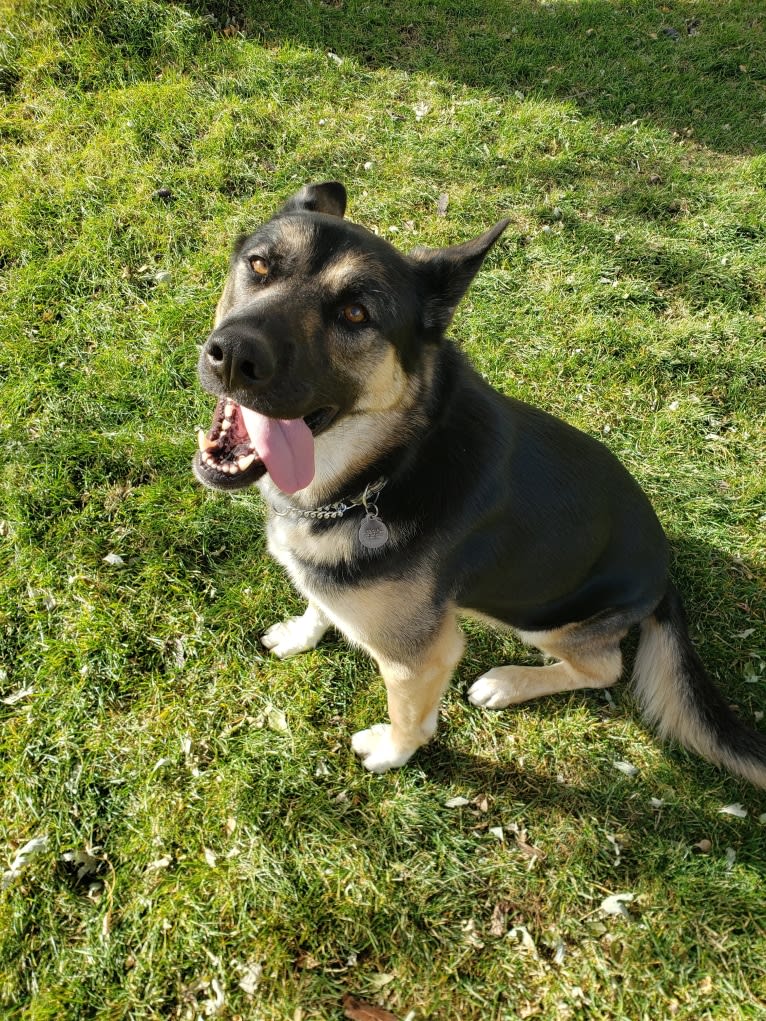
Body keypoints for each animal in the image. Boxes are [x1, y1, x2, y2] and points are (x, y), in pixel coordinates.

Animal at [193, 181, 766, 780]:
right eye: (259, 264)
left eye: (355, 313)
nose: (234, 356)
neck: (388, 466)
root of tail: (664, 576)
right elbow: (318, 602)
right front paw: (301, 633)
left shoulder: (419, 657)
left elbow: (410, 717)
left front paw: (391, 753)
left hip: (546, 617)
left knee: (605, 668)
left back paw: (507, 682)